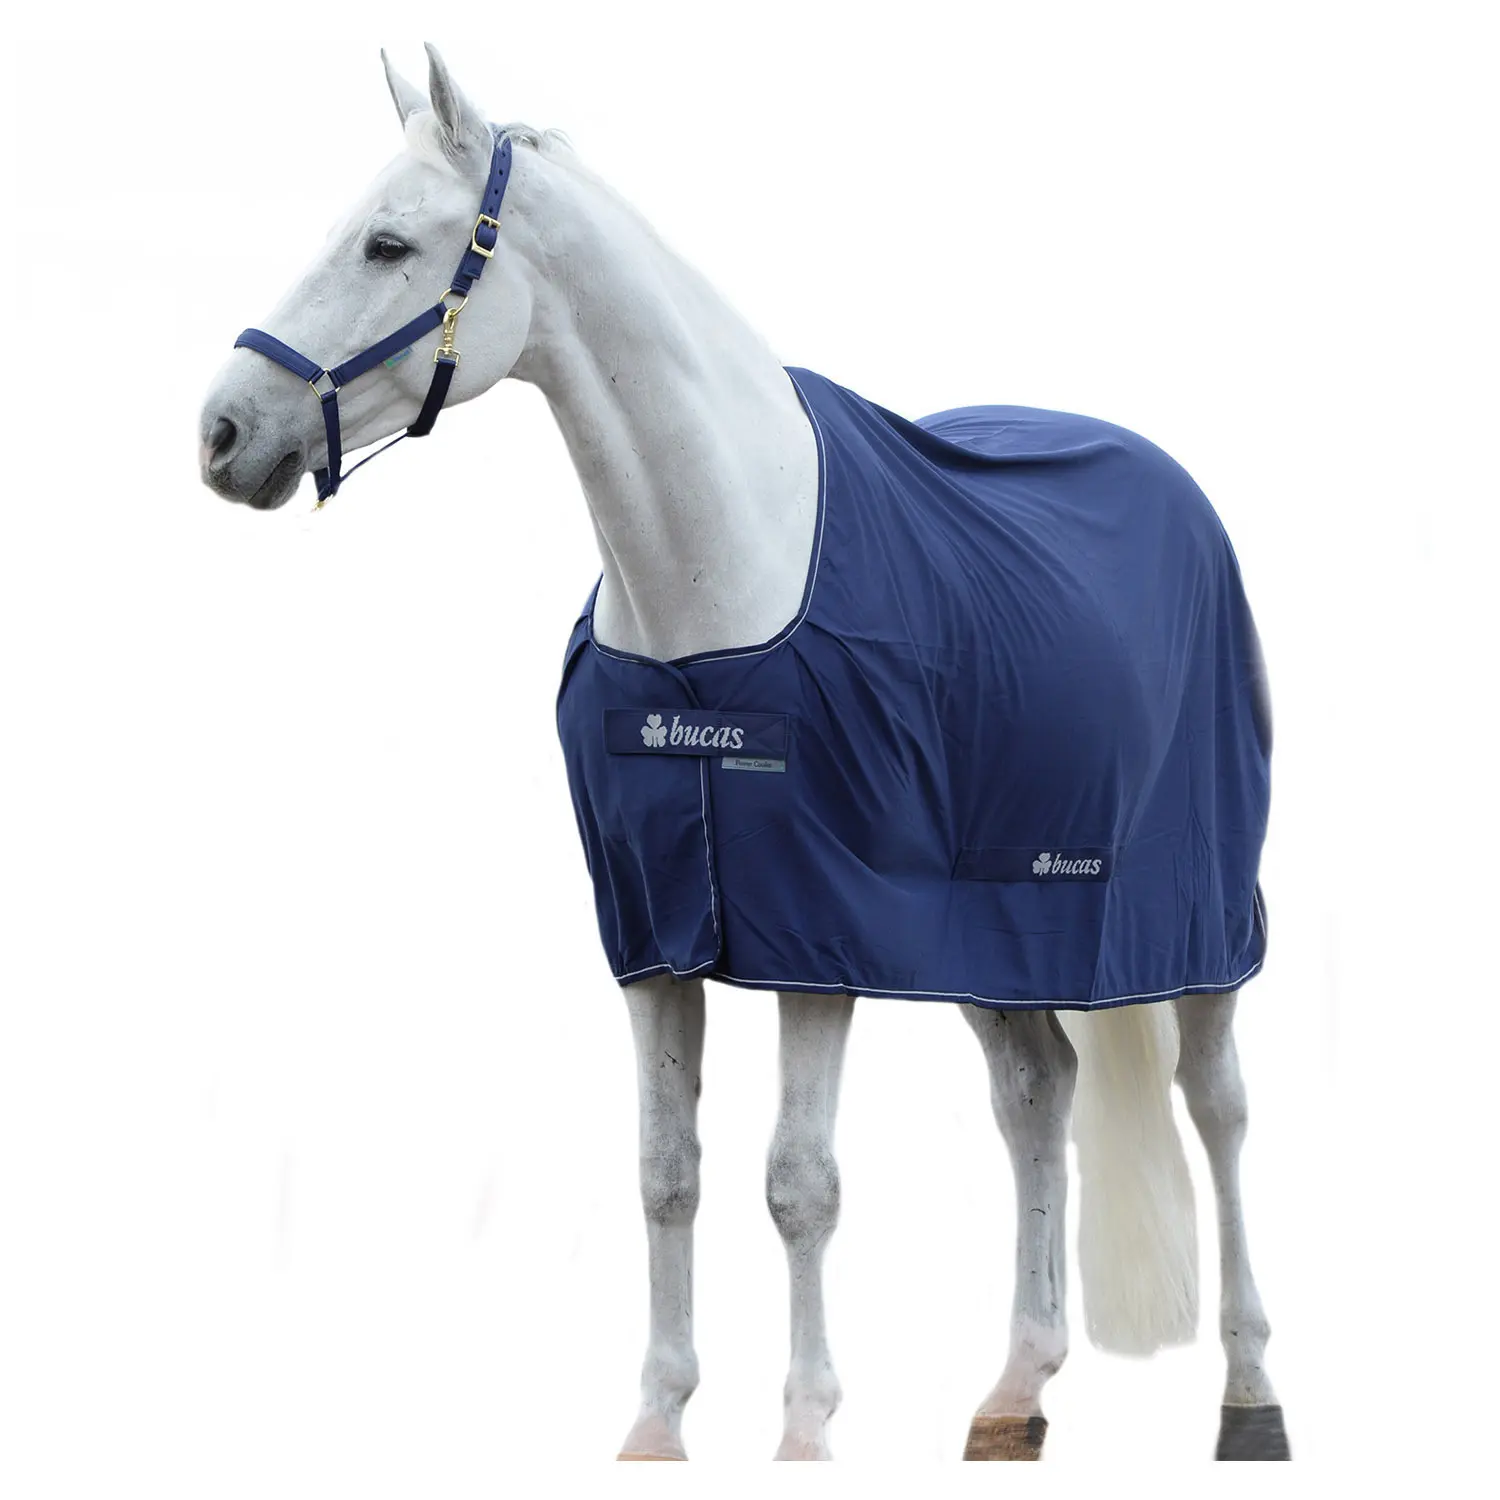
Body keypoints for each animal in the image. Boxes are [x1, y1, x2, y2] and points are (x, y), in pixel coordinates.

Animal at [198, 44, 1288, 1463]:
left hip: (1192, 914)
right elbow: (667, 1176)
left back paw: (1251, 1394)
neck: (713, 589)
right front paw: (656, 1426)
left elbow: (798, 1184)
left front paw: (806, 1433)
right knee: (1035, 1094)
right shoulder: (660, 935)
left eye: (388, 243)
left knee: (1218, 1106)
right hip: (994, 930)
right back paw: (1014, 1392)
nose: (222, 433)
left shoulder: (816, 939)